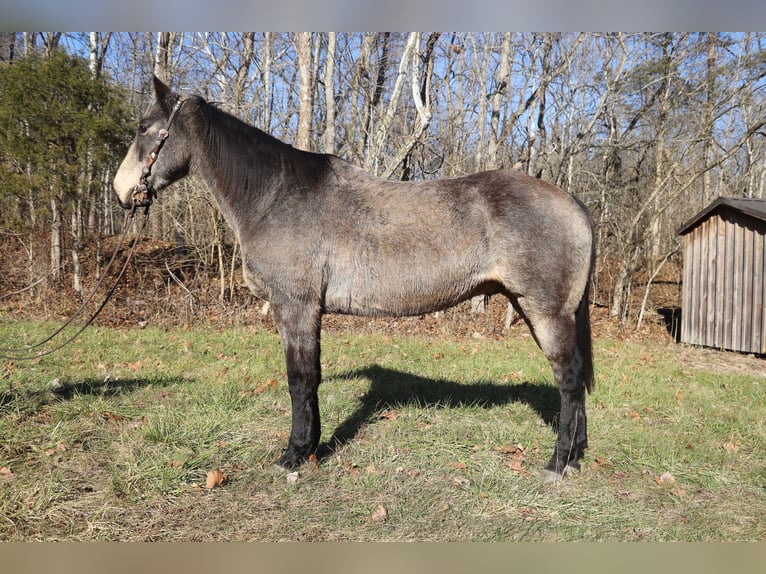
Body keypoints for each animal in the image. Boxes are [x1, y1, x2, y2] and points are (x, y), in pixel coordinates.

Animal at [114, 76, 596, 482]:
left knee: (569, 379)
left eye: (143, 127)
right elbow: (312, 376)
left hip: (546, 312)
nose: (121, 193)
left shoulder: (295, 306)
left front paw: (294, 454)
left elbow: (300, 378)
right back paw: (575, 455)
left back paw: (557, 463)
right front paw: (311, 447)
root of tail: (571, 201)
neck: (274, 195)